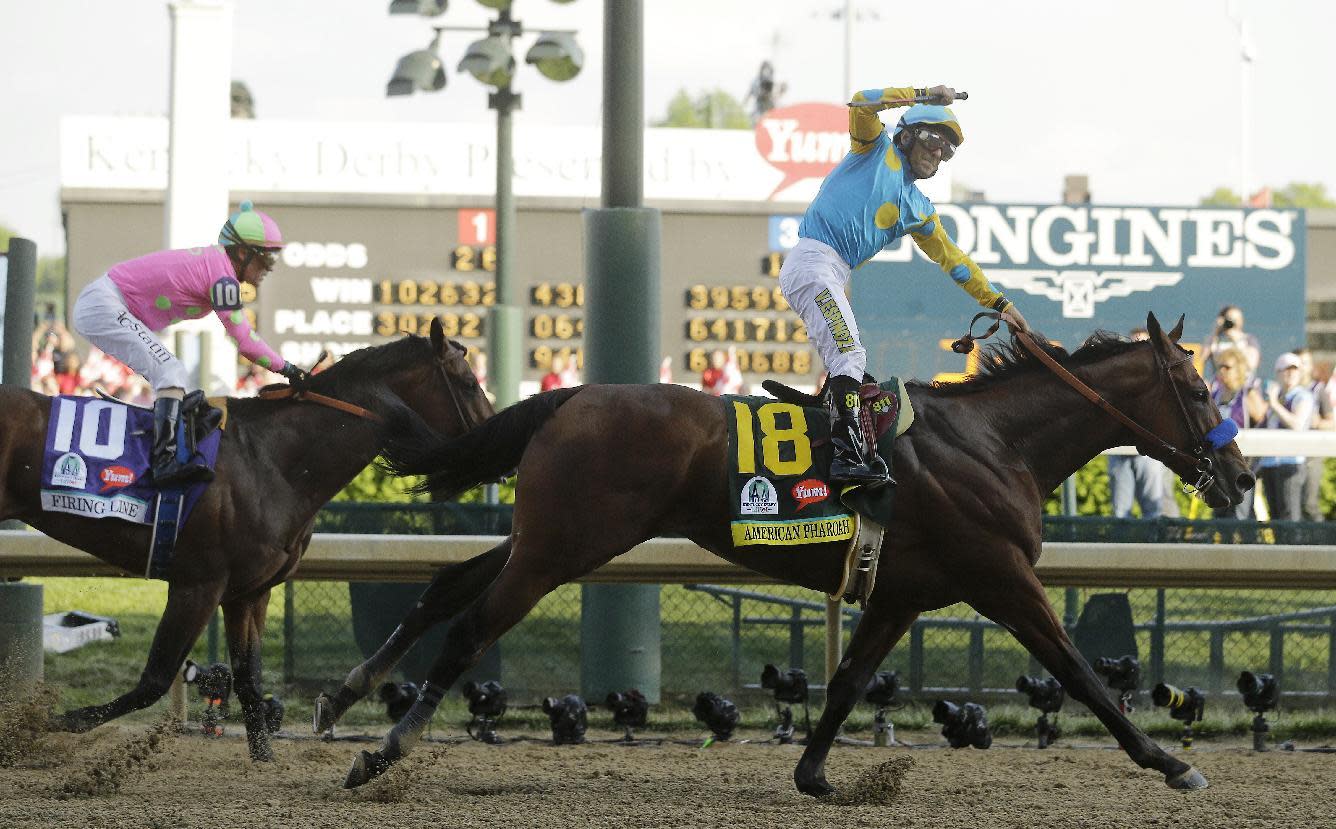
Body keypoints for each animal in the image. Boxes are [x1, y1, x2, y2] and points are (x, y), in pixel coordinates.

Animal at [0, 319, 491, 763]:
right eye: (469, 384)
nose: (496, 436)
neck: (275, 462)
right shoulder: (198, 584)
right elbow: (154, 680)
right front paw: (48, 724)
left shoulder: (248, 591)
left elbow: (248, 677)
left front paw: (263, 755)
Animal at [320, 313, 1250, 790]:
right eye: (1200, 387)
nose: (1240, 475)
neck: (995, 442)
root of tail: (571, 394)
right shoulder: (1004, 578)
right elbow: (1082, 671)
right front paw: (1169, 761)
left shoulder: (902, 591)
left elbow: (846, 680)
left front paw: (813, 770)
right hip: (564, 546)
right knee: (472, 623)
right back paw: (382, 748)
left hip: (545, 535)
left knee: (445, 585)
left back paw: (345, 693)